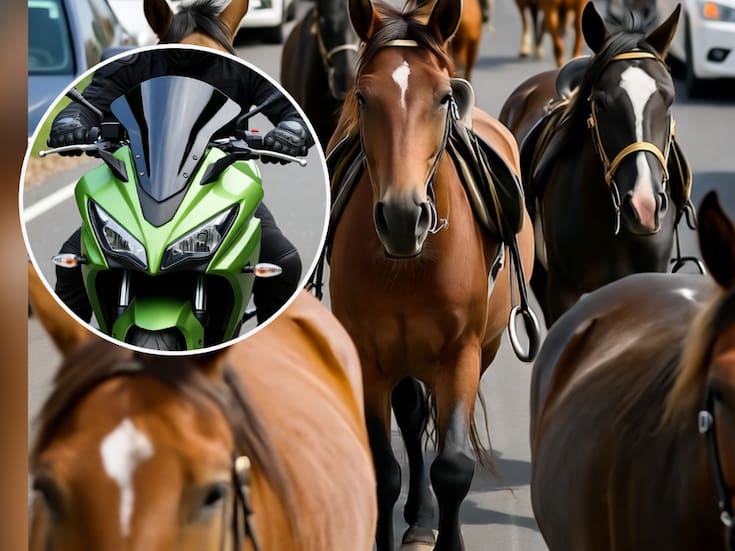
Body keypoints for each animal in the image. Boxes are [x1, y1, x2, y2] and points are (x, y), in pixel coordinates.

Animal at [326, 0, 535, 549]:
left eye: (442, 98)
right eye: (363, 96)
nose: (403, 216)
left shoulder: (460, 352)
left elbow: (453, 466)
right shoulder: (371, 357)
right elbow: (384, 470)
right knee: (415, 412)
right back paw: (419, 519)